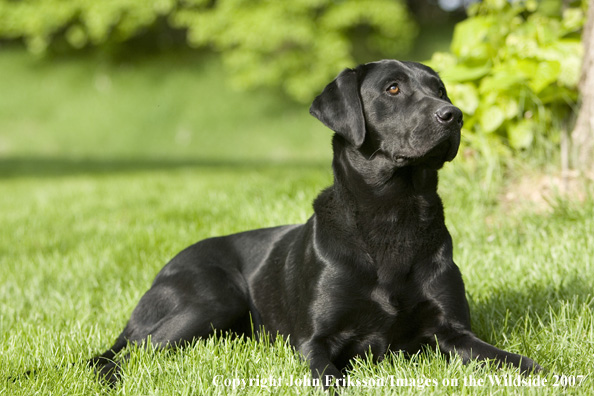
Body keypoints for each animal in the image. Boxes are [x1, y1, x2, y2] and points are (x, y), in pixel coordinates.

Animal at [90, 59, 540, 386]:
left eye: (440, 89)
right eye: (393, 88)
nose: (455, 115)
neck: (393, 214)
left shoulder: (454, 332)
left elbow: (508, 359)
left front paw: (542, 371)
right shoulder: (314, 341)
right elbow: (331, 377)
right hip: (212, 297)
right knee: (119, 354)